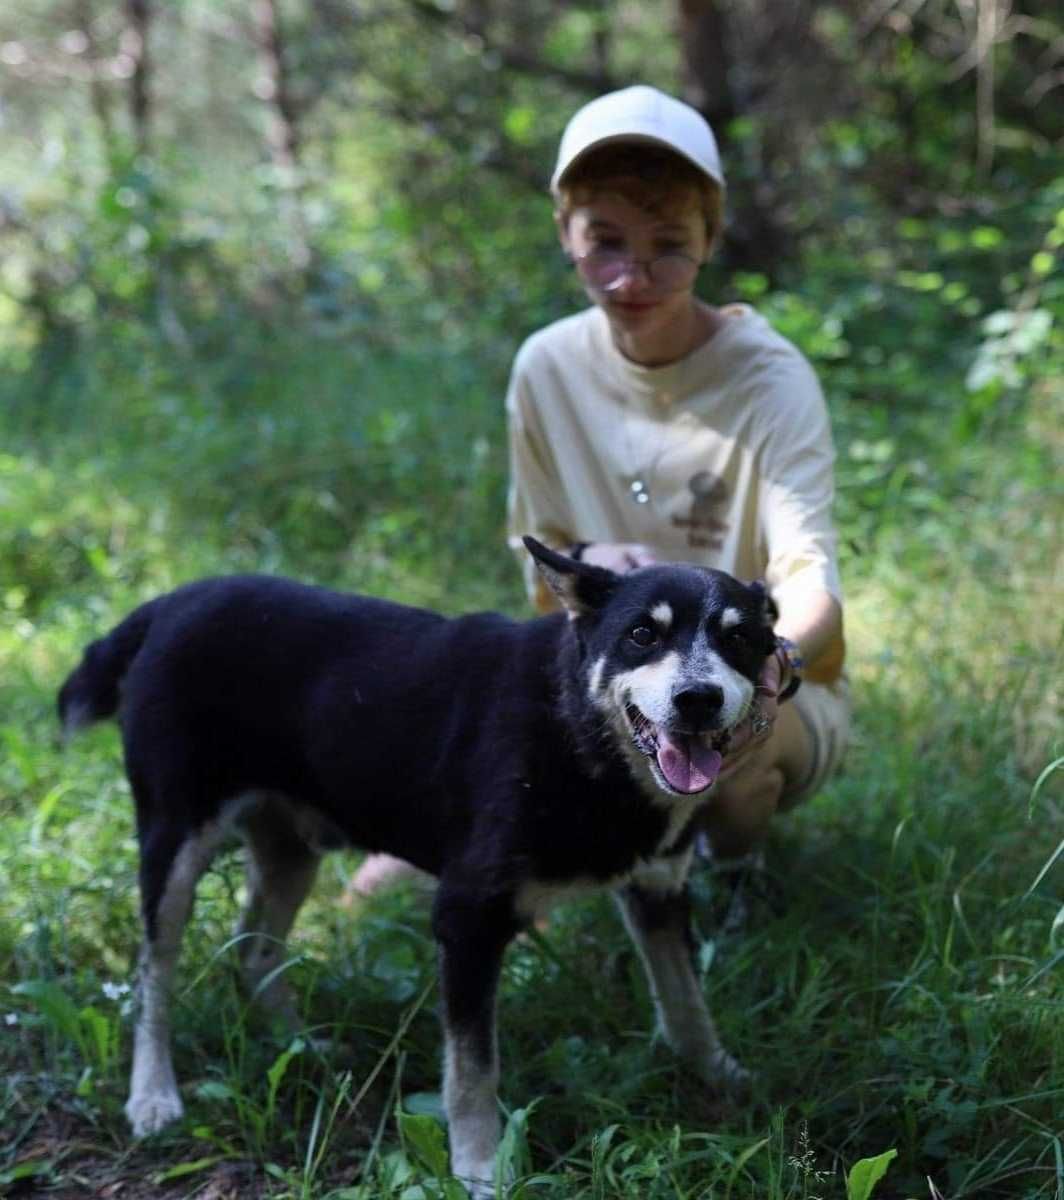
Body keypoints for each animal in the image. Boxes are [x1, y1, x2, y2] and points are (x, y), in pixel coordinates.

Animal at [60, 544, 782, 1200]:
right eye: (642, 635)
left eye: (740, 638)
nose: (698, 699)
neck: (577, 730)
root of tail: (165, 605)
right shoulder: (467, 918)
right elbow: (472, 1071)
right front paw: (480, 1170)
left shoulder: (658, 890)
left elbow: (686, 1003)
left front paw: (722, 1074)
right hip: (174, 841)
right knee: (153, 976)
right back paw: (153, 1095)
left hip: (291, 849)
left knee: (255, 949)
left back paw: (301, 1048)